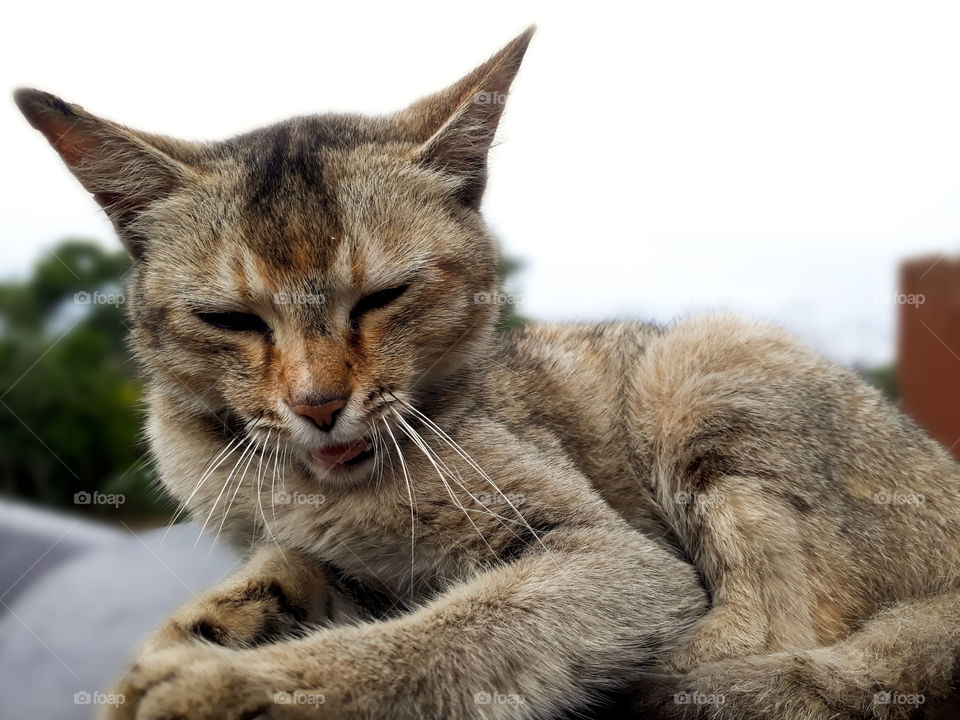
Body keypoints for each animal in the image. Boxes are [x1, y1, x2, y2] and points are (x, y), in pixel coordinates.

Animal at [15, 26, 960, 720]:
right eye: (232, 320)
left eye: (384, 297)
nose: (319, 404)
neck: (315, 491)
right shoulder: (313, 546)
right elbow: (283, 570)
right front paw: (207, 629)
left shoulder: (616, 560)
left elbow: (454, 634)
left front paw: (241, 684)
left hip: (700, 364)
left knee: (774, 635)